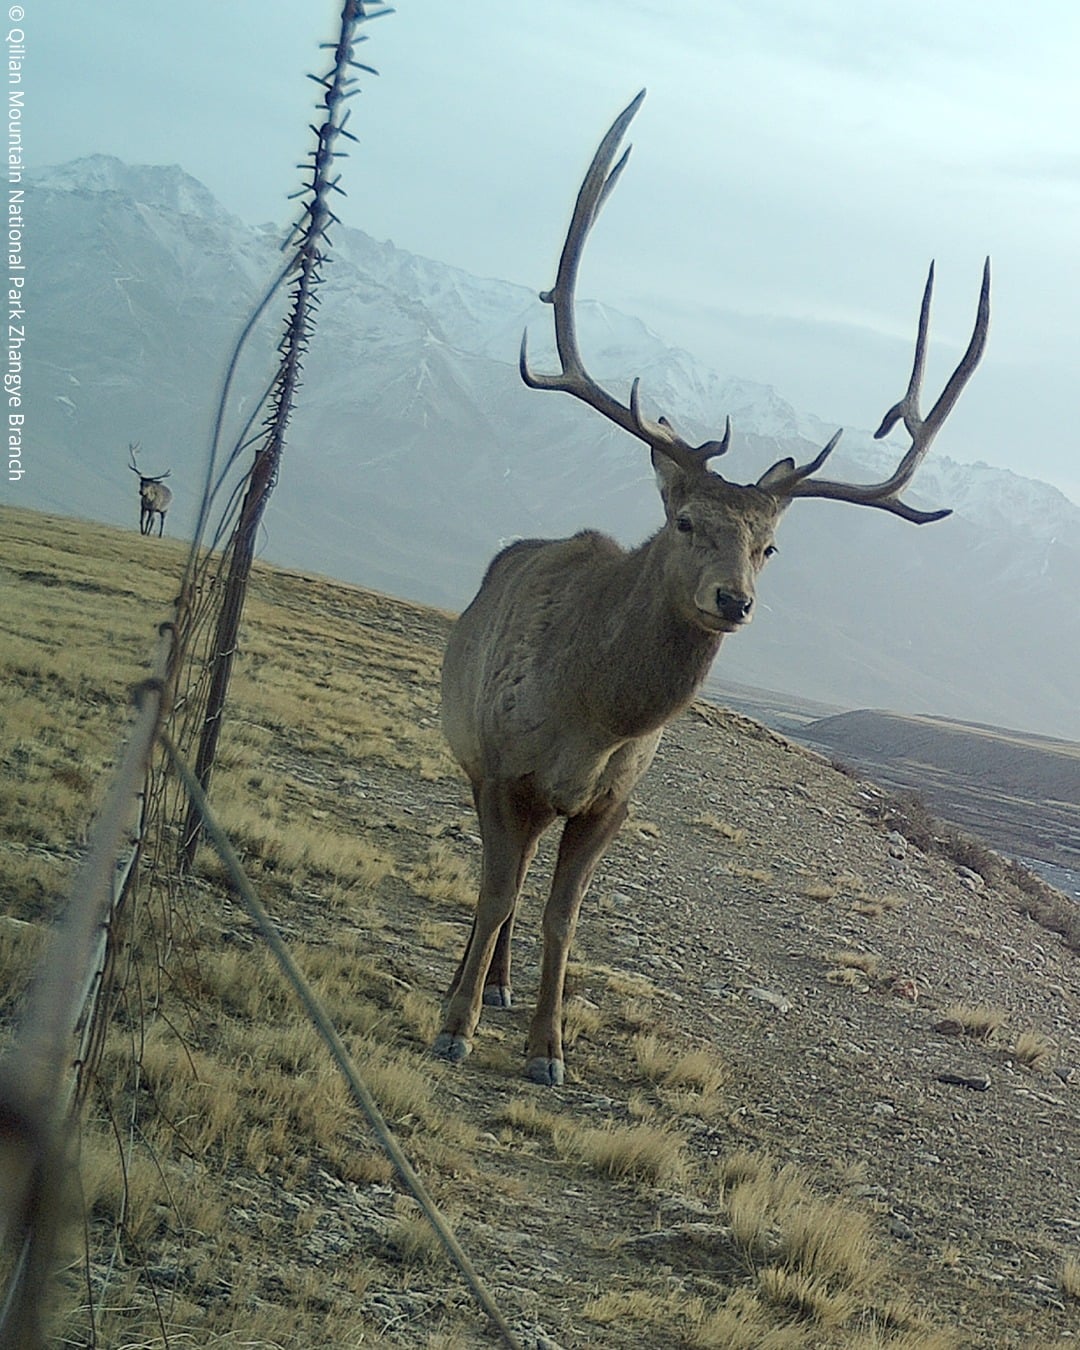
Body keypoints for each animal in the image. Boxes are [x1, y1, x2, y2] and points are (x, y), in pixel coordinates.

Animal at [435, 90, 990, 1087]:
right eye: (688, 521)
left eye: (771, 546)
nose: (735, 601)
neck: (589, 720)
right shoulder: (500, 768)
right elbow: (497, 895)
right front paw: (452, 1024)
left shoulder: (612, 802)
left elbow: (561, 915)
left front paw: (549, 1048)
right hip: (468, 756)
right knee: (496, 883)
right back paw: (471, 985)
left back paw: (497, 989)